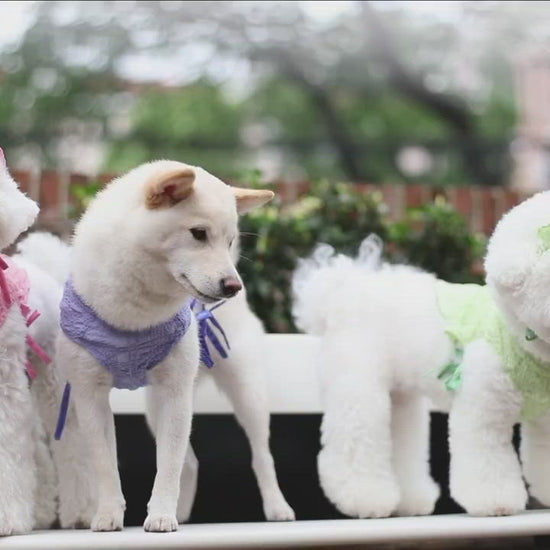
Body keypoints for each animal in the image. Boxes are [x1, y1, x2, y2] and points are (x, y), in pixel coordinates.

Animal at [294, 194, 550, 520]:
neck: (527, 342)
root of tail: (343, 292)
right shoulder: (483, 407)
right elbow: (485, 457)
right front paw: (495, 502)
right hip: (358, 383)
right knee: (356, 440)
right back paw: (365, 498)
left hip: (401, 398)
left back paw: (409, 501)